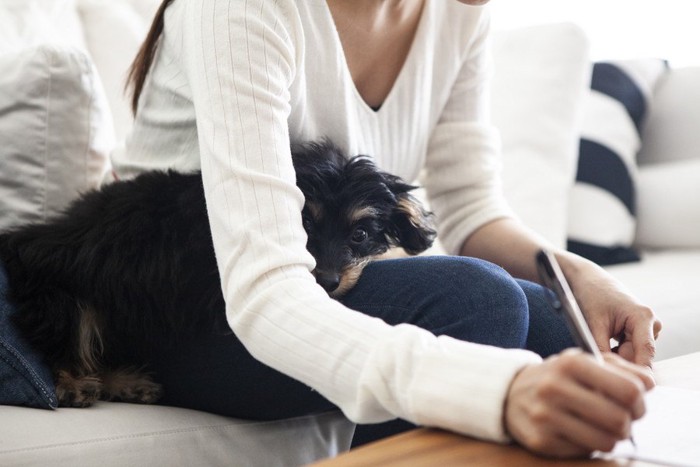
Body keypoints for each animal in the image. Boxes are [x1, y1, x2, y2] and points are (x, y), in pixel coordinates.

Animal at [0, 140, 434, 410]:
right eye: (304, 225)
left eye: (359, 235)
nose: (328, 282)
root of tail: (25, 238)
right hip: (66, 296)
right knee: (63, 342)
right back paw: (72, 385)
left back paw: (126, 383)